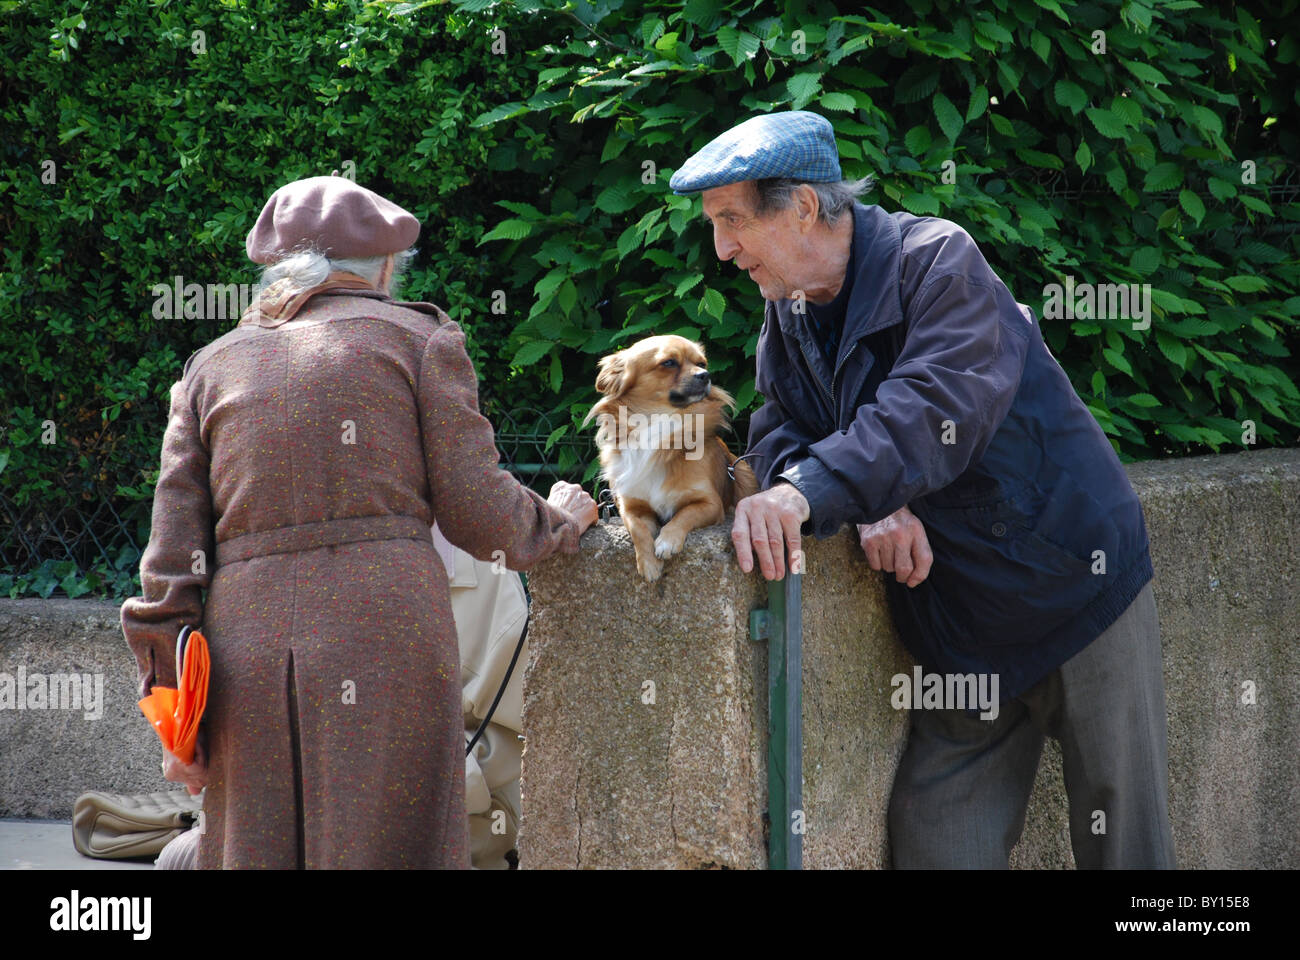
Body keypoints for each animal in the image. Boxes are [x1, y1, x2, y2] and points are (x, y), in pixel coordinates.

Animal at [585, 333, 759, 580]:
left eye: (702, 363)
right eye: (668, 363)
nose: (705, 375)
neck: (660, 425)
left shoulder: (711, 504)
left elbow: (685, 513)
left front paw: (667, 541)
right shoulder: (631, 506)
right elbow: (637, 528)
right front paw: (648, 563)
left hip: (743, 473)